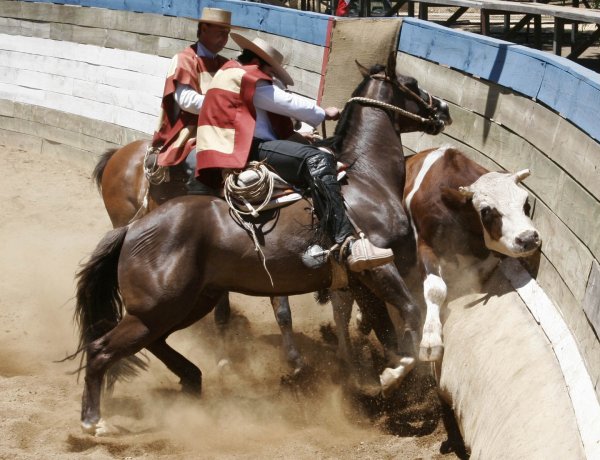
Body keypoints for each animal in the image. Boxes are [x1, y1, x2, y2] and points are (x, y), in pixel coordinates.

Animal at [74, 55, 450, 436]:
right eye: (412, 84)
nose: (443, 109)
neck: (367, 181)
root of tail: (134, 230)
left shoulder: (360, 281)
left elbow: (384, 328)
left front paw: (380, 383)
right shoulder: (380, 268)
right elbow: (409, 313)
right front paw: (392, 376)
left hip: (188, 302)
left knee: (157, 341)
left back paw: (193, 378)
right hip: (158, 307)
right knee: (102, 349)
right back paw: (95, 421)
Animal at [406, 146, 540, 362]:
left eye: (526, 203)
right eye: (486, 211)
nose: (528, 238)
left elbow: (479, 270)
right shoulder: (424, 242)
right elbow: (435, 288)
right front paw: (431, 338)